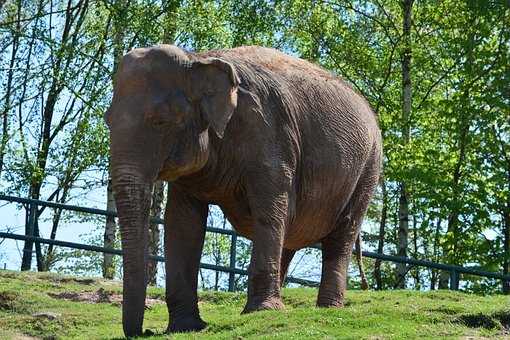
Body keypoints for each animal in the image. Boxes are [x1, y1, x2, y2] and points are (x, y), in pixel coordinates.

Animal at [104, 43, 382, 338]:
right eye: (107, 120)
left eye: (160, 121)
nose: (145, 331)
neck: (197, 60)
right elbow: (182, 223)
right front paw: (185, 327)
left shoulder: (269, 135)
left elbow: (269, 209)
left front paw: (261, 312)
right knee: (288, 233)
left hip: (368, 169)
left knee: (341, 233)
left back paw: (326, 307)